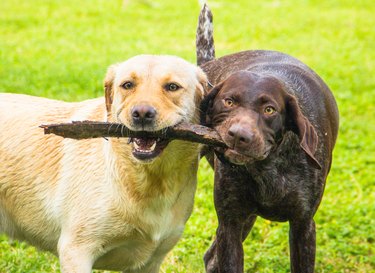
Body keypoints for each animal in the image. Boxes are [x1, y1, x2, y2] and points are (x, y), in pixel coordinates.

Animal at [0, 54, 207, 270]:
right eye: (127, 85)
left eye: (172, 87)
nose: (141, 113)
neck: (148, 180)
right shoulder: (76, 251)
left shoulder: (150, 263)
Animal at [197, 4, 340, 272]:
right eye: (229, 101)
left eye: (269, 110)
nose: (239, 136)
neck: (267, 167)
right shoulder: (230, 225)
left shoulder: (303, 226)